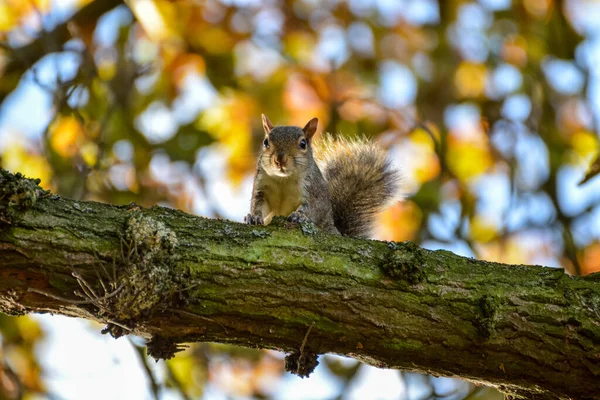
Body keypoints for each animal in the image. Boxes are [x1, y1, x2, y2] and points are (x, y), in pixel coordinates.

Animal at [244, 114, 404, 239]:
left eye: (303, 143)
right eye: (265, 142)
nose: (280, 160)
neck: (284, 179)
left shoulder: (312, 190)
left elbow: (313, 208)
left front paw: (299, 215)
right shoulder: (262, 188)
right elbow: (258, 205)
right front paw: (254, 217)